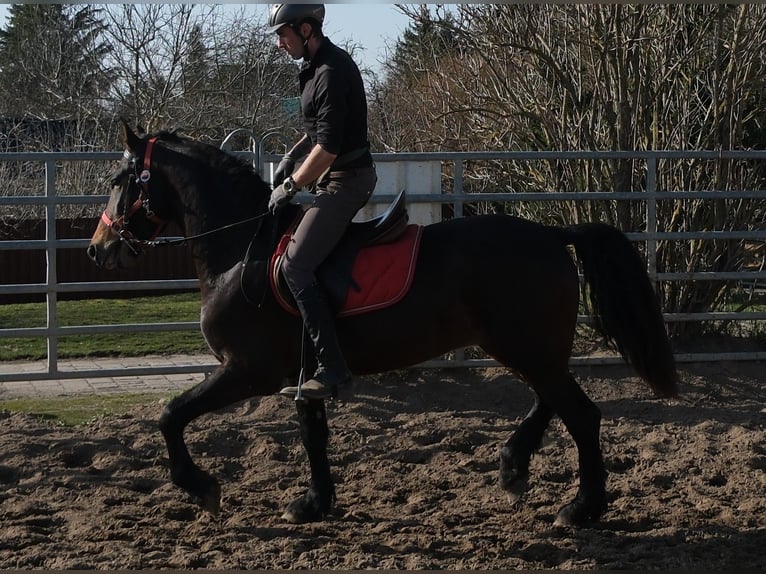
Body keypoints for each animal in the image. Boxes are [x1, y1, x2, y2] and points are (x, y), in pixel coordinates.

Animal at [87, 120, 678, 527]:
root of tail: (552, 234)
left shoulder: (248, 371)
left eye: (120, 179)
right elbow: (312, 434)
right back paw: (514, 467)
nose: (99, 249)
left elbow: (171, 414)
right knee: (551, 402)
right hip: (528, 348)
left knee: (581, 414)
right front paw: (314, 502)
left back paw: (581, 508)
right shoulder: (303, 373)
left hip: (526, 347)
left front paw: (200, 487)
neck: (241, 250)